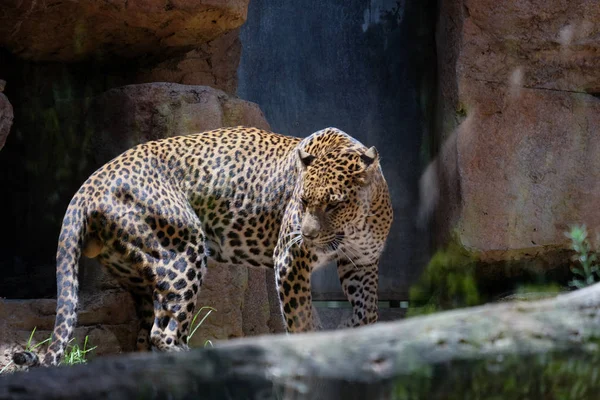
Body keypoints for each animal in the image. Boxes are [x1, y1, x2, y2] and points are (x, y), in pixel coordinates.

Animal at [12, 126, 394, 368]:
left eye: (334, 204)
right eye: (301, 201)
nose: (308, 234)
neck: (355, 224)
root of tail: (89, 182)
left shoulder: (362, 262)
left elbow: (368, 311)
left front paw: (355, 334)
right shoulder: (290, 260)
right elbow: (301, 318)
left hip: (140, 271)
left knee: (147, 334)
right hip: (183, 251)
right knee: (163, 333)